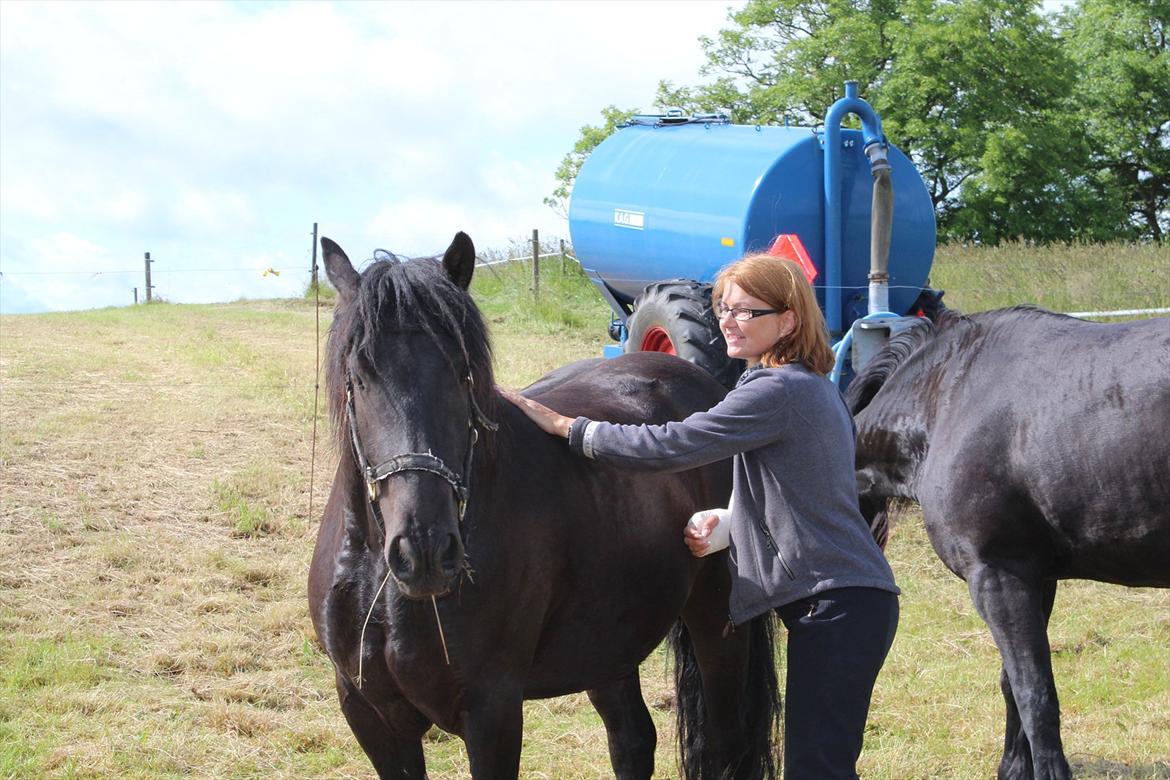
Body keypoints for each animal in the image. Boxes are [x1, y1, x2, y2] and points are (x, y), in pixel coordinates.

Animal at [306, 233, 781, 780]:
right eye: (358, 375)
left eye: (462, 373)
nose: (424, 551)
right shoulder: (369, 714)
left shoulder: (492, 710)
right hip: (607, 641)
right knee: (632, 740)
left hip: (715, 623)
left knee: (726, 743)